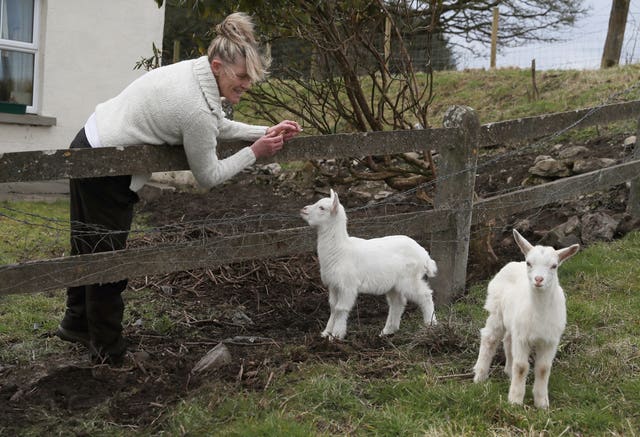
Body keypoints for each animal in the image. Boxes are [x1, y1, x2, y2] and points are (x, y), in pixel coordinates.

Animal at [300, 189, 436, 338]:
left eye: (322, 208)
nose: (303, 209)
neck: (341, 250)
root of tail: (424, 255)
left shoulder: (348, 285)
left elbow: (341, 308)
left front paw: (336, 335)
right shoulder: (333, 285)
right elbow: (333, 307)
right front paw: (326, 333)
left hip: (410, 278)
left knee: (425, 295)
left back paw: (430, 325)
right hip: (394, 284)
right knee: (397, 303)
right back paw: (387, 331)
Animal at [470, 228, 580, 408]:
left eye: (554, 266)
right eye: (529, 263)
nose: (538, 279)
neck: (539, 312)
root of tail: (514, 263)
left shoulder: (550, 340)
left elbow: (543, 368)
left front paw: (542, 403)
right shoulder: (522, 338)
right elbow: (521, 366)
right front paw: (515, 401)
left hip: (513, 323)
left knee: (508, 340)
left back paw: (508, 372)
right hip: (496, 310)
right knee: (489, 338)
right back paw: (480, 376)